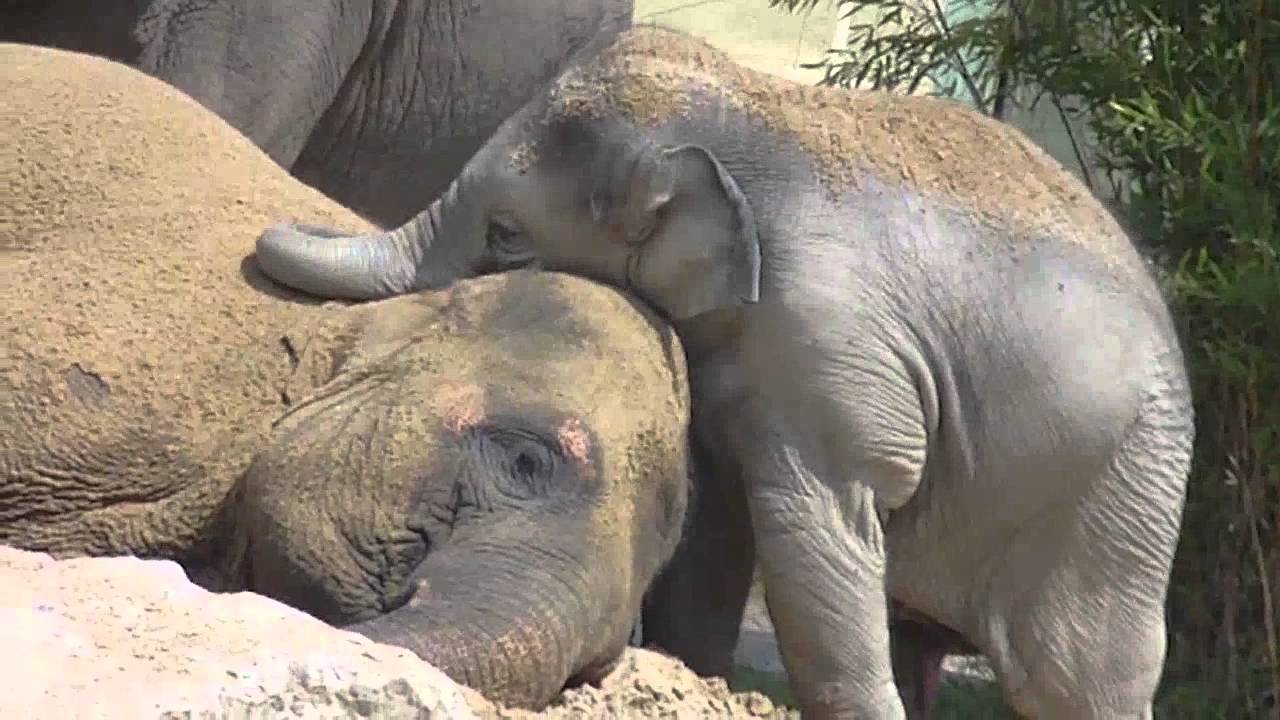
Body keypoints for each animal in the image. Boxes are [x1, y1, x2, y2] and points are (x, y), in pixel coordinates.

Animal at [255, 26, 1197, 720]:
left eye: (508, 236)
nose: (263, 242)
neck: (746, 109)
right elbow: (716, 523)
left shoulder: (830, 352)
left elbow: (815, 534)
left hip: (1118, 499)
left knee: (1075, 674)